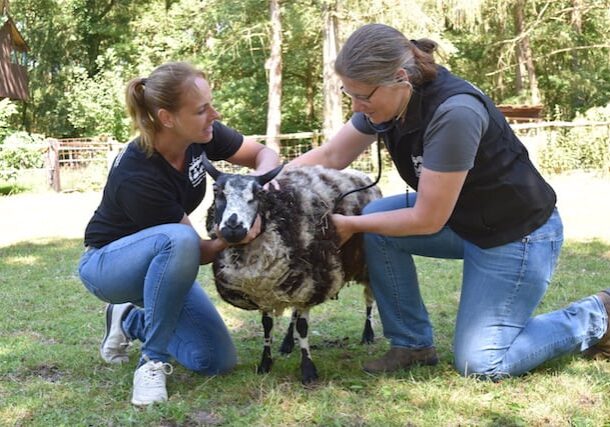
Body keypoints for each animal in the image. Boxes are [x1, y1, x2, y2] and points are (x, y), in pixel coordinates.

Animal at [202, 156, 380, 384]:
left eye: (259, 193)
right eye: (216, 191)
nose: (233, 227)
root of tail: (360, 173)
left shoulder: (309, 286)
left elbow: (303, 328)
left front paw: (308, 370)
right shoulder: (264, 293)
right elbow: (267, 326)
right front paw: (265, 363)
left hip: (362, 268)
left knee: (369, 300)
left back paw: (368, 334)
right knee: (295, 312)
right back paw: (287, 342)